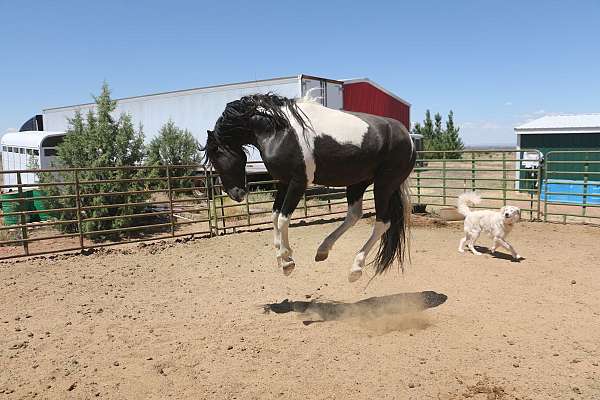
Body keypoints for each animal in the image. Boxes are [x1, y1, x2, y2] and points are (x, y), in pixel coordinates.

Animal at [204, 93, 414, 282]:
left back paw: (355, 268)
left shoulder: (298, 183)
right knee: (354, 215)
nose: (236, 194)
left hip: (384, 185)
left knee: (383, 223)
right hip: (358, 183)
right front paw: (283, 257)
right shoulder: (284, 182)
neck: (277, 131)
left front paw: (286, 261)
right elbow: (274, 216)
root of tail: (408, 138)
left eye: (216, 159)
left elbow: (283, 219)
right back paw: (322, 251)